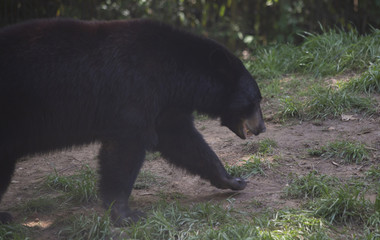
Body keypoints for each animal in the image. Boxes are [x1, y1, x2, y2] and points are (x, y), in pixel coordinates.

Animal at [0, 18, 266, 225]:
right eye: (255, 100)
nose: (262, 128)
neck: (174, 75)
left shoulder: (165, 104)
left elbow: (182, 140)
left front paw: (233, 180)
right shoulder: (134, 91)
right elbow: (127, 147)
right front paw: (125, 214)